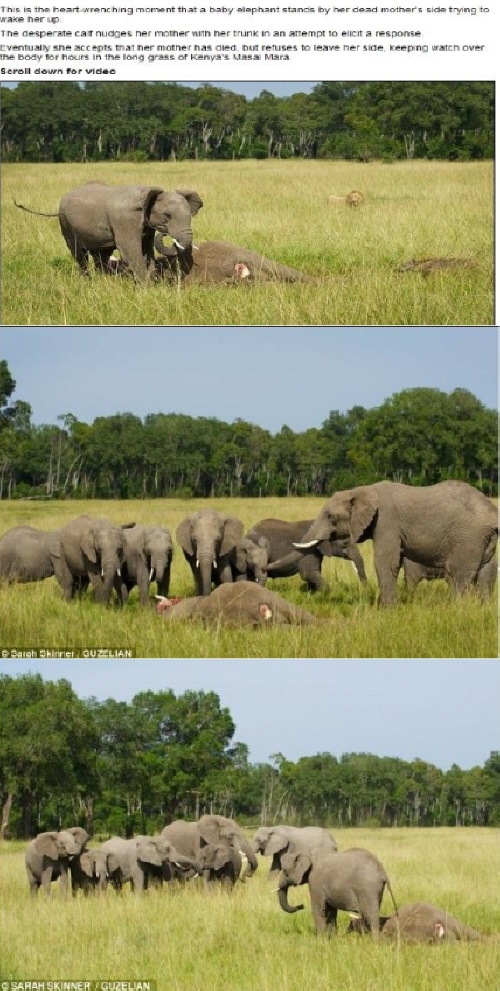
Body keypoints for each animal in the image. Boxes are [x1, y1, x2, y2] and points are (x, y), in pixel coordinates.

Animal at [15, 183, 203, 280]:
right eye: (167, 216)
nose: (166, 234)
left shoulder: (147, 227)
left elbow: (147, 251)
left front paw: (153, 281)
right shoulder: (124, 221)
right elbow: (131, 251)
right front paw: (146, 289)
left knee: (101, 255)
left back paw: (104, 279)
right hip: (65, 223)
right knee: (79, 254)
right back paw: (89, 281)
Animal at [292, 480, 496, 604]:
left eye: (330, 516)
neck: (362, 490)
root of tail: (493, 513)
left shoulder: (386, 521)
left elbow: (386, 561)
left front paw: (386, 610)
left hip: (468, 536)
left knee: (457, 573)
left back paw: (456, 609)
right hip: (482, 539)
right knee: (483, 572)